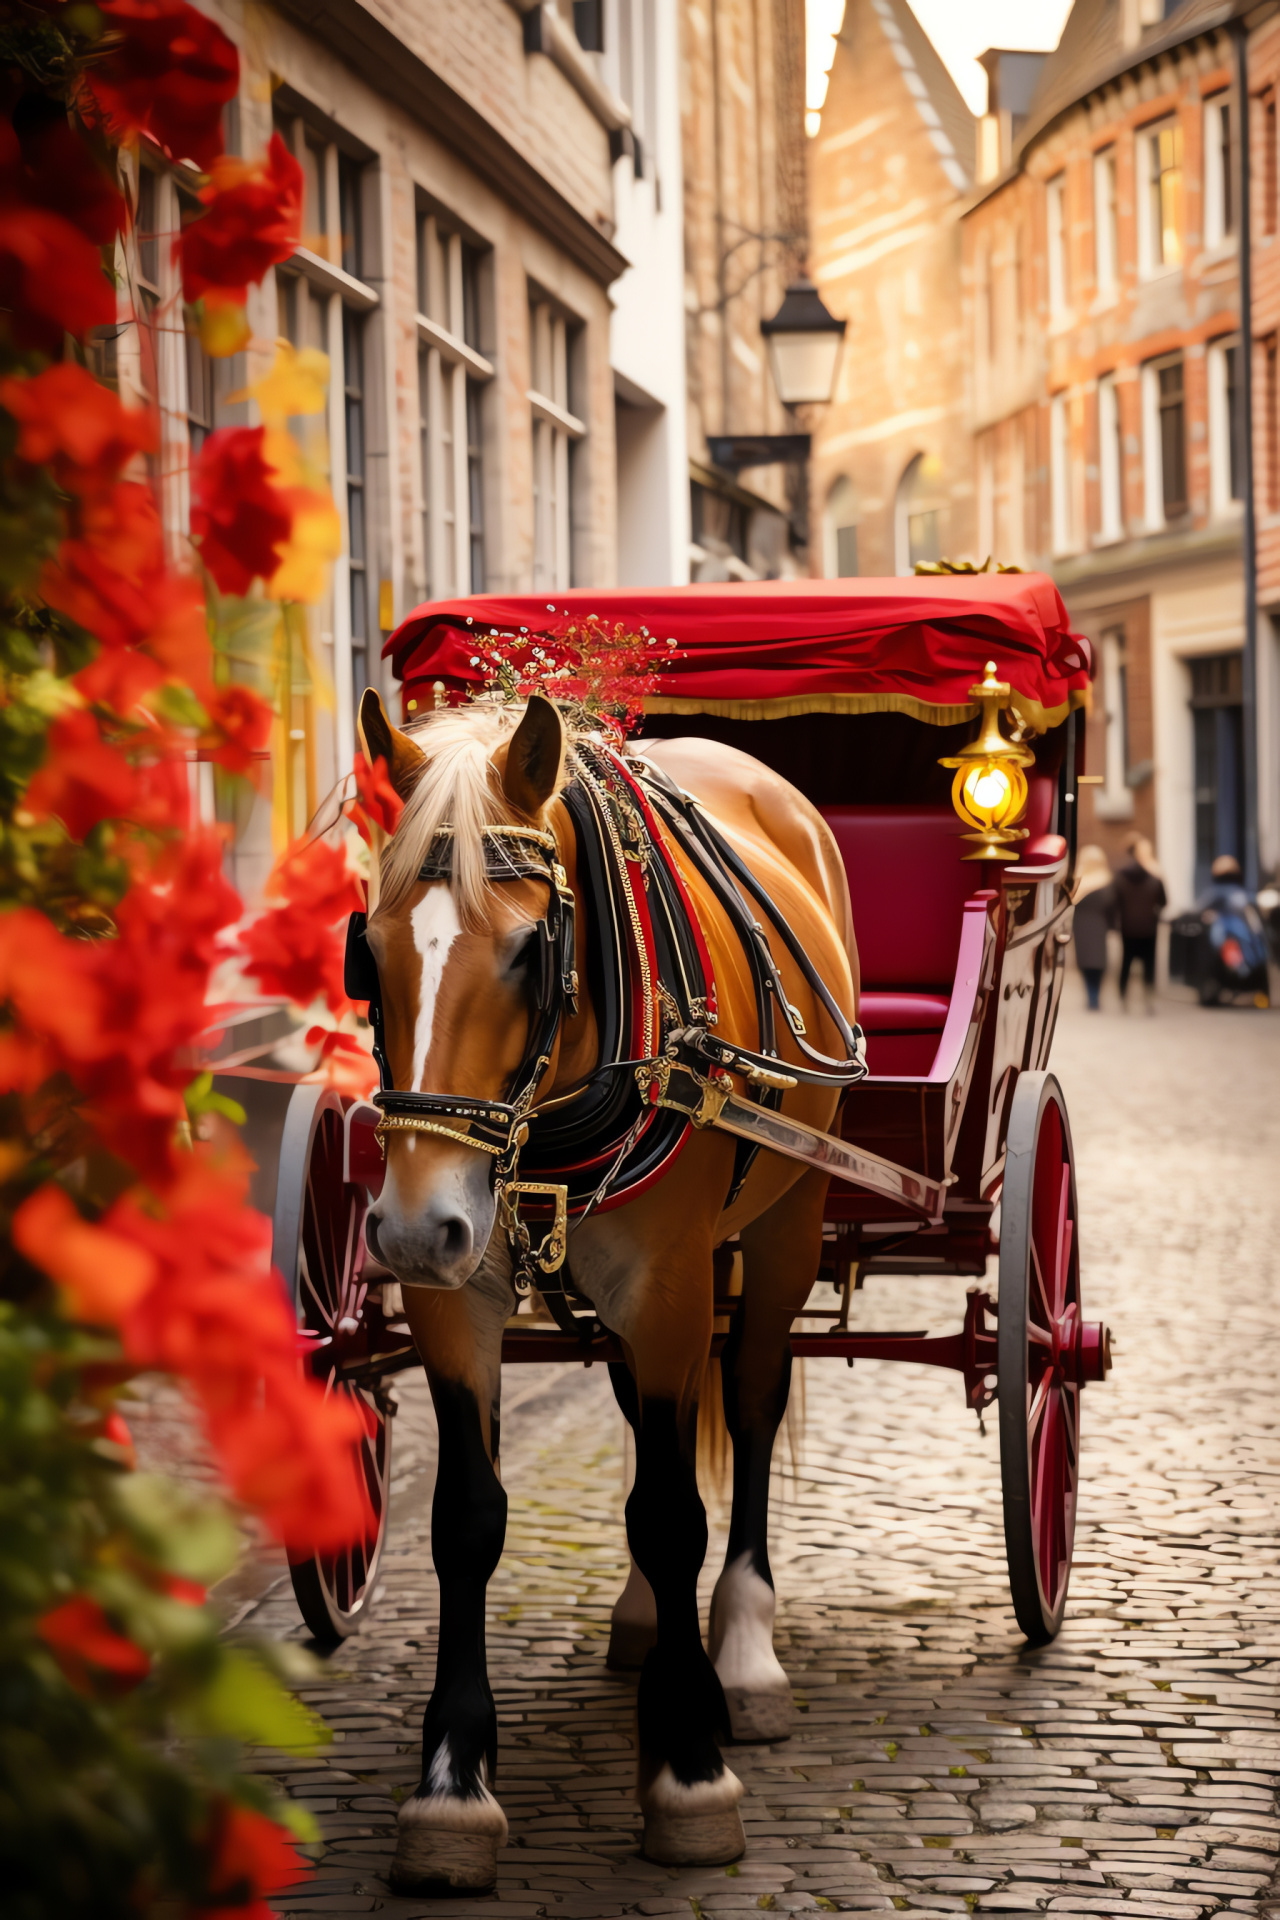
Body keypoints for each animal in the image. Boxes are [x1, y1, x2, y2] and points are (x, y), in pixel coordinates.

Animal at [360, 687, 859, 1889]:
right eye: (368, 950)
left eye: (530, 950)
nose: (413, 1228)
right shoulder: (455, 1299)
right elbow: (466, 1518)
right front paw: (451, 1785)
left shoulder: (670, 1287)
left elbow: (675, 1513)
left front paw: (687, 1768)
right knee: (643, 1417)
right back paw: (644, 1622)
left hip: (786, 1227)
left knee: (755, 1397)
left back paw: (742, 1655)